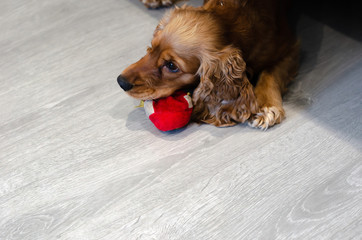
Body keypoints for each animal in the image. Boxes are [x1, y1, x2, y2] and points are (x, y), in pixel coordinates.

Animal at [117, 0, 298, 129]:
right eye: (151, 47)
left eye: (172, 66)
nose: (121, 81)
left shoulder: (291, 46)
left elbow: (270, 73)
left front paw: (266, 106)